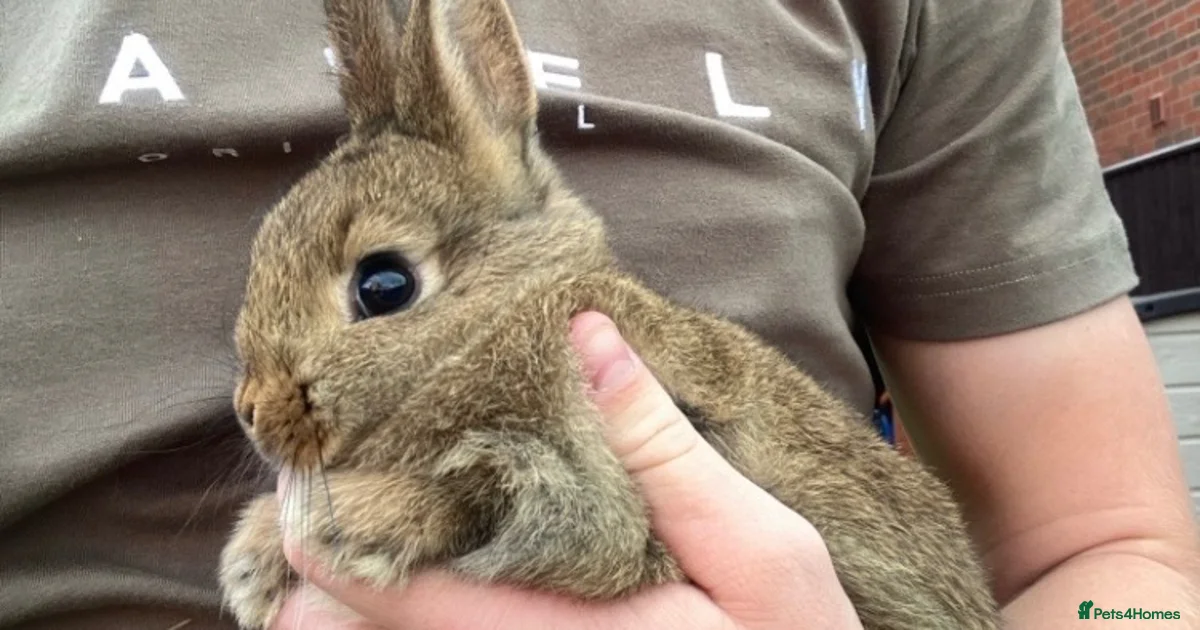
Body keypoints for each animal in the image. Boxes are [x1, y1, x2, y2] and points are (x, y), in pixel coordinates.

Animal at [217, 0, 1002, 628]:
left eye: (384, 286)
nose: (253, 410)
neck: (496, 321)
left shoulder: (585, 486)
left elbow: (501, 500)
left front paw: (338, 526)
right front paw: (255, 560)